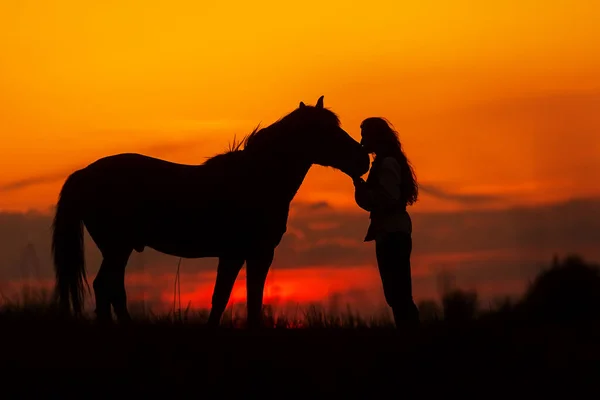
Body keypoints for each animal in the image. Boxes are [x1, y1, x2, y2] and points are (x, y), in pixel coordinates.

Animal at [51, 95, 370, 326]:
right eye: (325, 132)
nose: (363, 159)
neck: (256, 179)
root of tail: (84, 173)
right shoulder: (243, 253)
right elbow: (229, 298)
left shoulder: (249, 254)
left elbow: (242, 299)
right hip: (117, 247)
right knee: (106, 287)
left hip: (119, 248)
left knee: (112, 288)